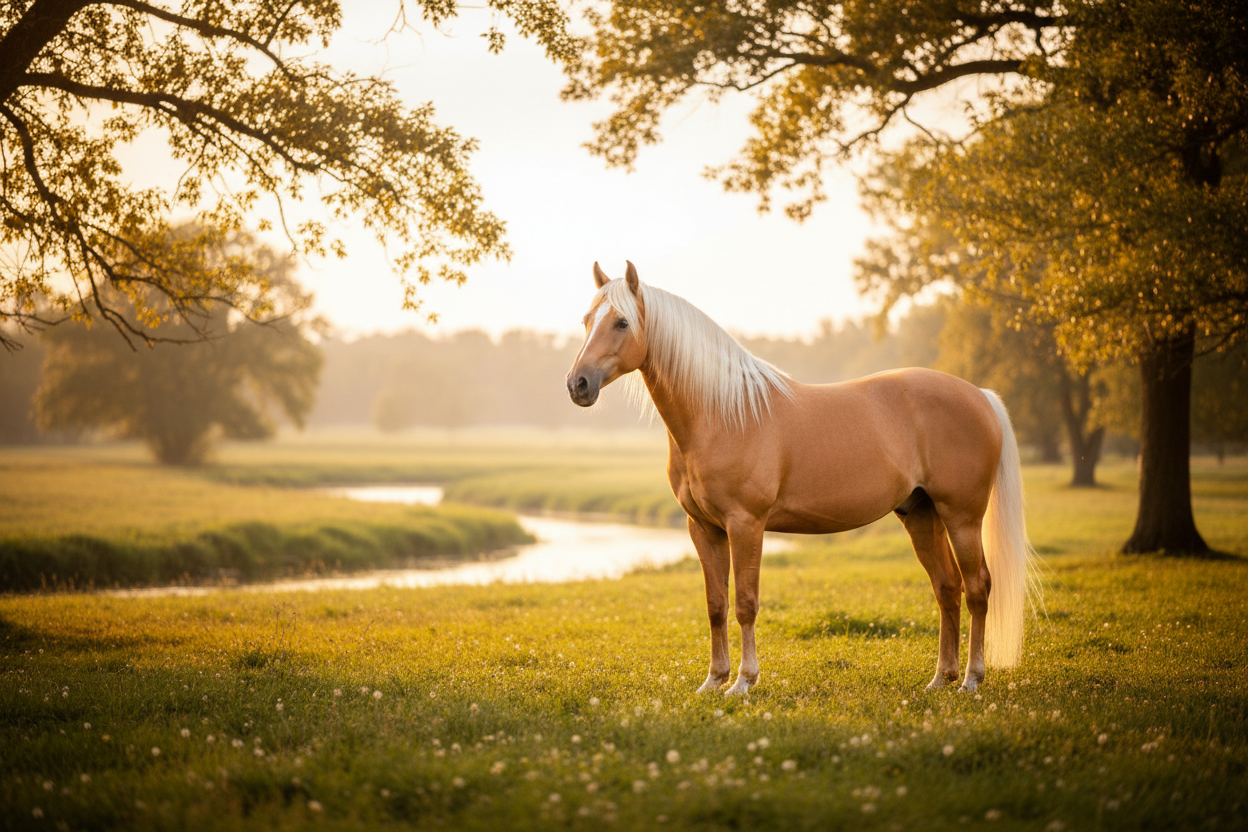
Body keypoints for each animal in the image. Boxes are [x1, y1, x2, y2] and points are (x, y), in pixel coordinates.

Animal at [566, 261, 1035, 695]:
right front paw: (713, 681)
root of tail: (980, 396)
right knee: (947, 588)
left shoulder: (746, 524)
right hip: (922, 515)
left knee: (977, 588)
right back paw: (941, 678)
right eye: (587, 320)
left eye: (622, 322)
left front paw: (743, 682)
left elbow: (745, 603)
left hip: (962, 517)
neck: (722, 414)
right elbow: (716, 605)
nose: (578, 384)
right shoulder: (703, 527)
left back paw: (971, 679)